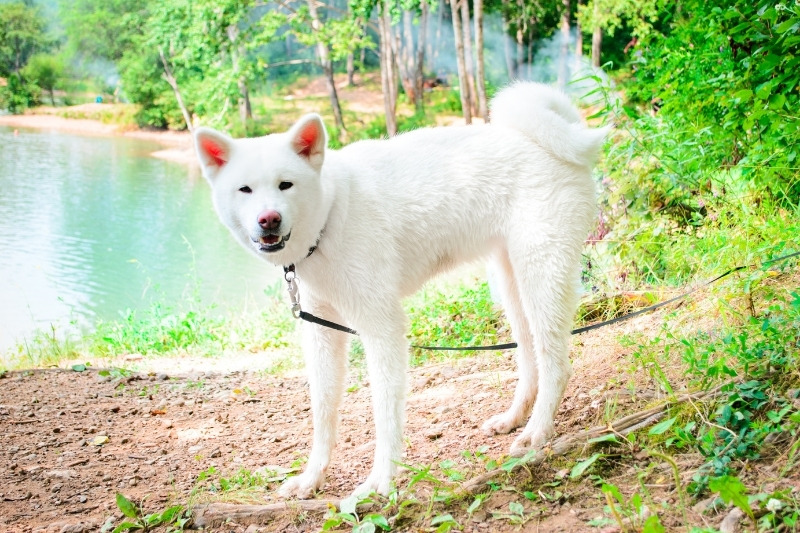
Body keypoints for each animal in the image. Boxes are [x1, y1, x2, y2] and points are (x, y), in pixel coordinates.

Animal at [194, 81, 608, 496]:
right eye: (245, 189)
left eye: (286, 184)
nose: (269, 219)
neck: (332, 213)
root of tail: (542, 137)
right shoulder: (322, 333)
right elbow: (323, 412)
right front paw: (312, 477)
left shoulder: (383, 328)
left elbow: (385, 412)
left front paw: (380, 480)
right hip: (510, 284)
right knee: (529, 357)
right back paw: (514, 417)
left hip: (542, 277)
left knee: (557, 364)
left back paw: (537, 431)